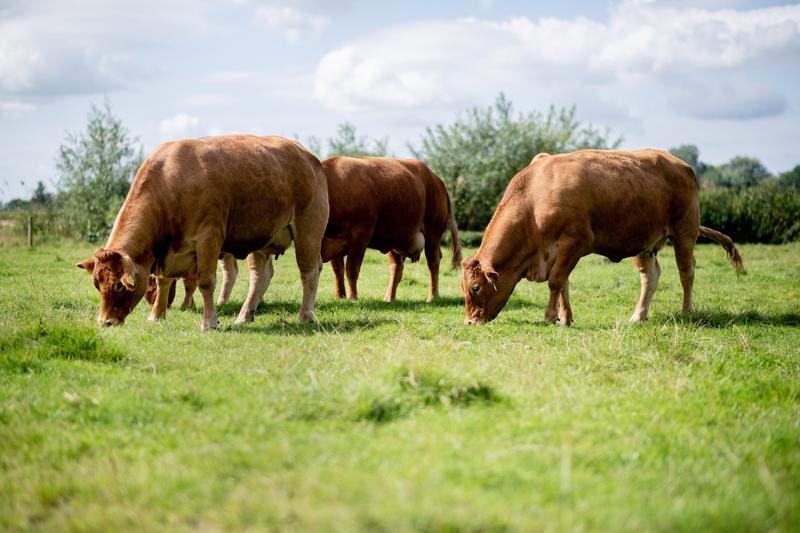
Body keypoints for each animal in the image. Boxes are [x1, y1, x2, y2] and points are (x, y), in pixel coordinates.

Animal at [78, 134, 328, 328]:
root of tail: (307, 155)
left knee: (309, 271)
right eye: (97, 284)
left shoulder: (209, 239)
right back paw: (244, 316)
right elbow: (162, 281)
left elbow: (205, 282)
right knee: (260, 276)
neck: (171, 180)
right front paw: (156, 316)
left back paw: (304, 315)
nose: (105, 322)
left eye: (119, 285)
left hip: (308, 230)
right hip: (260, 237)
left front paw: (209, 322)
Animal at [318, 156, 460, 302]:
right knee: (397, 267)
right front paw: (339, 296)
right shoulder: (333, 239)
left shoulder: (360, 237)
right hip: (394, 237)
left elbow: (352, 269)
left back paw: (432, 296)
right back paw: (389, 297)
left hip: (433, 232)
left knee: (433, 262)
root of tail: (437, 179)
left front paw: (352, 297)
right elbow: (338, 270)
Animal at [462, 149, 744, 324]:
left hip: (684, 232)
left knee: (687, 272)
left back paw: (686, 312)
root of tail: (681, 164)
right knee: (650, 277)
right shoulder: (559, 251)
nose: (469, 322)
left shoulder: (574, 241)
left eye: (476, 287)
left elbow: (556, 281)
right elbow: (563, 284)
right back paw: (639, 315)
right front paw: (565, 318)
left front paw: (550, 316)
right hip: (645, 243)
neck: (533, 199)